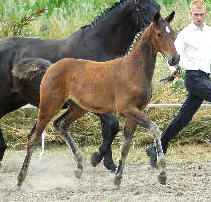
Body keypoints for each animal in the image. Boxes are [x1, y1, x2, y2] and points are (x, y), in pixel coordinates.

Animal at [0, 0, 159, 171]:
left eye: (158, 8)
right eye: (143, 8)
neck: (100, 45)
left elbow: (108, 128)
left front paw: (108, 162)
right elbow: (113, 124)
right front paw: (97, 158)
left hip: (15, 100)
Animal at [17, 11, 180, 187]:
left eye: (173, 33)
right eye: (160, 34)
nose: (175, 59)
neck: (134, 69)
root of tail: (50, 67)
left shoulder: (134, 113)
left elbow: (126, 146)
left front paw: (117, 178)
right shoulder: (127, 110)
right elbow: (154, 128)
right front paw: (162, 175)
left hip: (78, 108)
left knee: (60, 124)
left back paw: (79, 167)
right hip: (49, 105)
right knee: (33, 138)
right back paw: (21, 177)